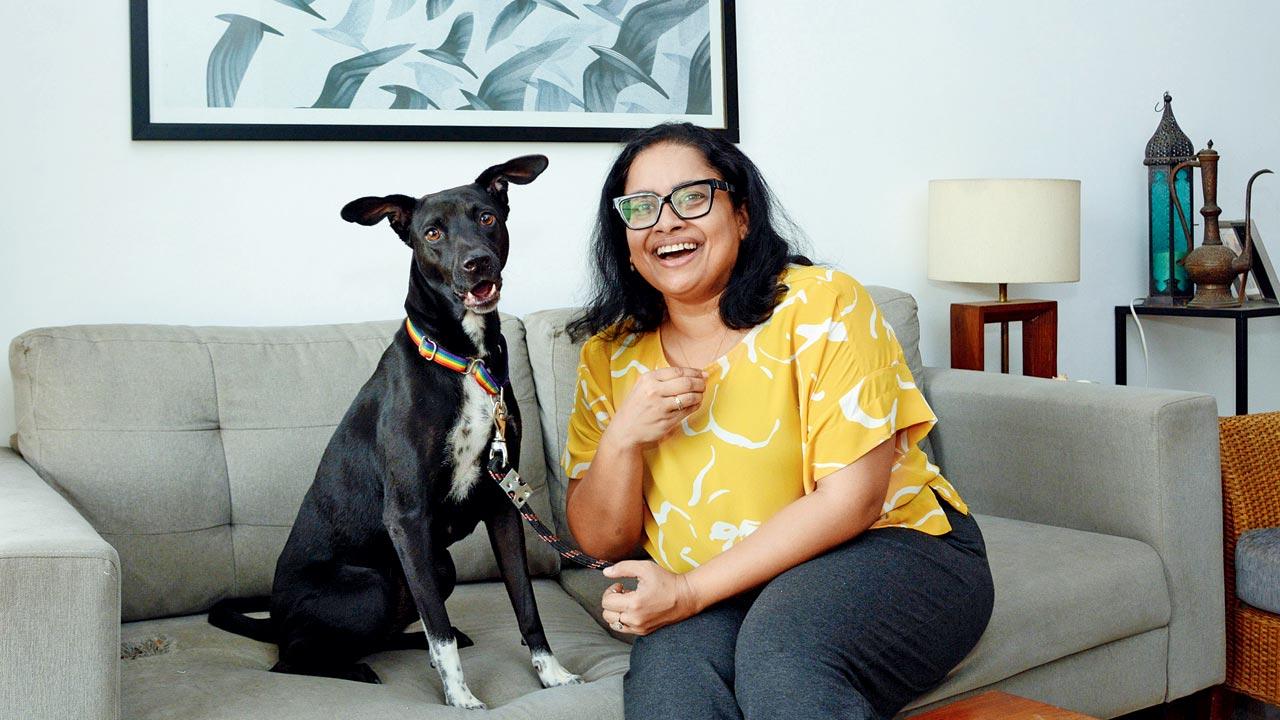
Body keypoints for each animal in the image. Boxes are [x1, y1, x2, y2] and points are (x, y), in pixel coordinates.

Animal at [206, 154, 581, 707]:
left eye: (487, 218)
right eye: (433, 232)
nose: (477, 263)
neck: (463, 358)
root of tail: (275, 618)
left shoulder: (502, 505)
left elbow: (525, 603)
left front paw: (551, 674)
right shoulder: (407, 517)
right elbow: (439, 631)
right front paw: (461, 699)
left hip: (439, 566)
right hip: (372, 585)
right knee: (290, 660)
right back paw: (351, 669)